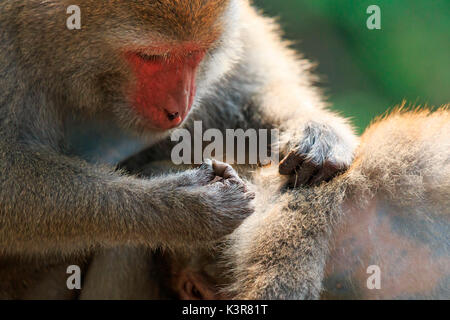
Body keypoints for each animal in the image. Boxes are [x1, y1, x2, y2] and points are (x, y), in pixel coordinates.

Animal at [0, 0, 358, 298]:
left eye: (196, 54)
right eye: (150, 57)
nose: (178, 109)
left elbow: (244, 98)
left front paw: (318, 132)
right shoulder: (9, 53)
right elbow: (9, 184)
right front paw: (185, 206)